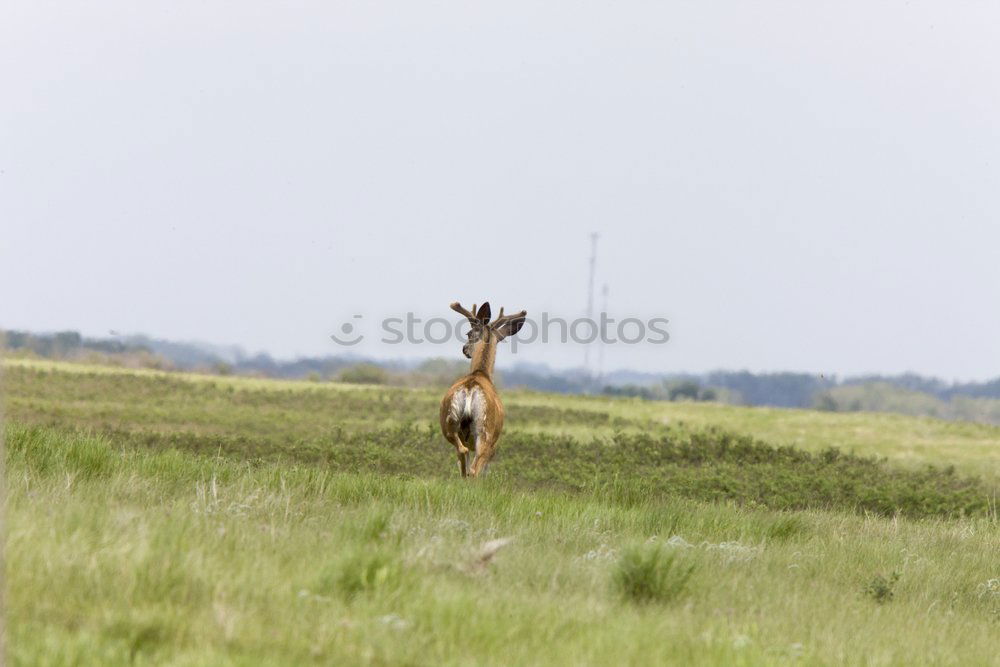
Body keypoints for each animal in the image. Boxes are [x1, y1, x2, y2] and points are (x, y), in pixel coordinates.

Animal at [440, 300, 528, 478]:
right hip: (485, 431)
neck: (481, 373)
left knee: (462, 452)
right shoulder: (494, 445)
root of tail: (469, 389)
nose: (465, 349)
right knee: (474, 468)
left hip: (450, 424)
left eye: (468, 333)